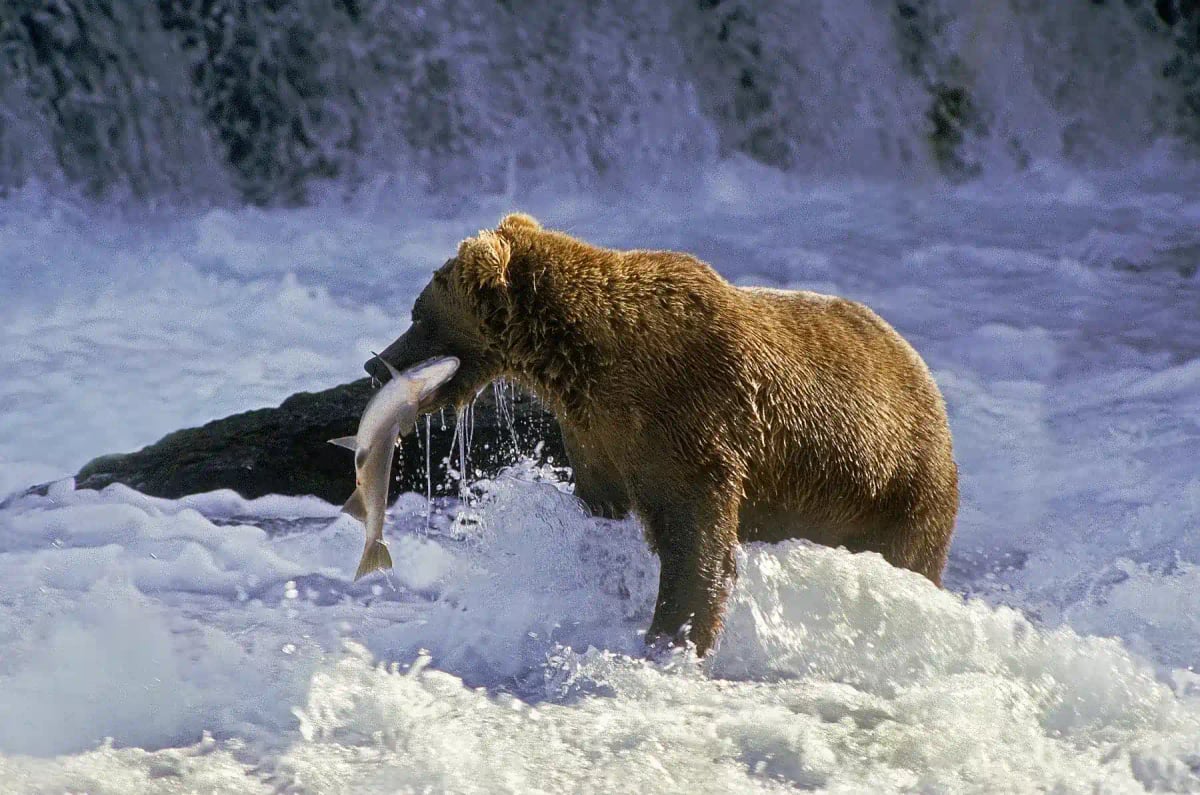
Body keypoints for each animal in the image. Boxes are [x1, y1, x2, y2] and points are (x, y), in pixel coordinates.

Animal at [367, 213, 958, 656]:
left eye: (419, 314)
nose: (376, 365)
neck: (584, 362)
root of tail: (925, 374)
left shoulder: (687, 419)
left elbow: (694, 540)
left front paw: (671, 639)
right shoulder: (596, 436)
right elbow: (603, 509)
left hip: (897, 486)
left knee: (912, 556)